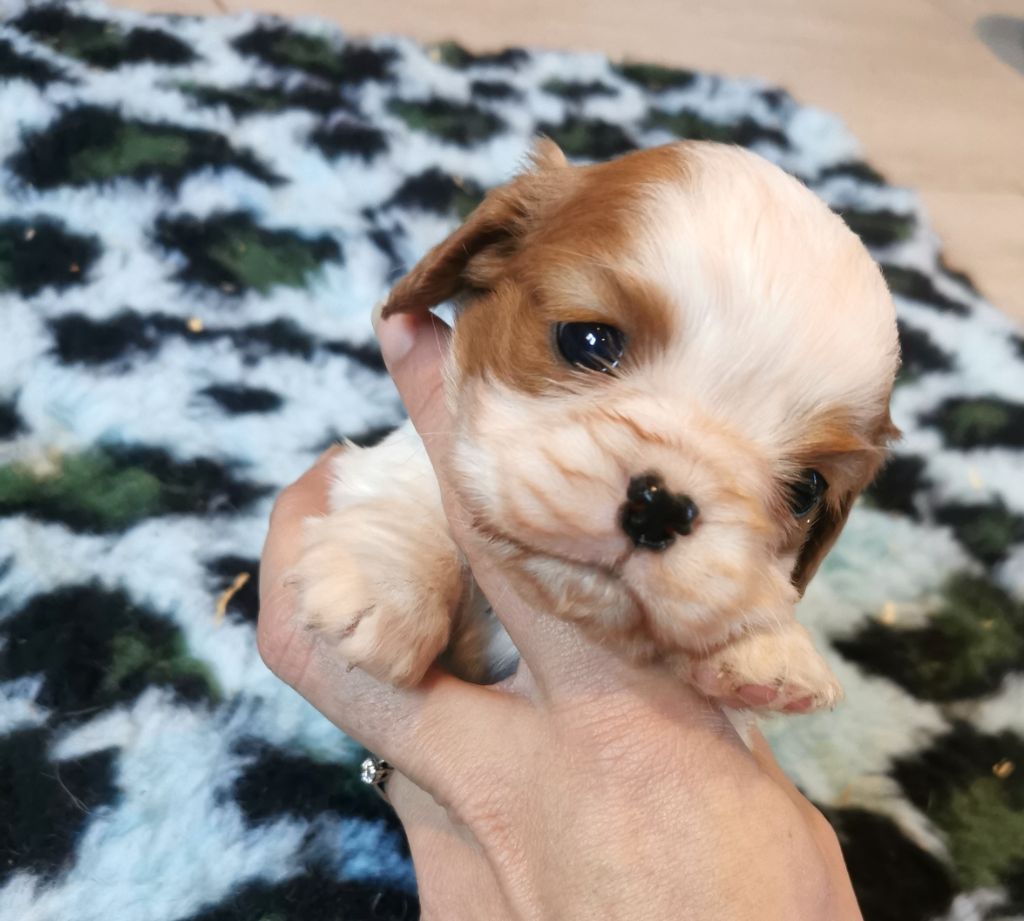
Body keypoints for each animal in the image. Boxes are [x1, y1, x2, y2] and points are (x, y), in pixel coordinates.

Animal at [294, 139, 900, 715]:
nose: (660, 507)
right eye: (586, 340)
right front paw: (386, 580)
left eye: (805, 492)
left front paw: (768, 647)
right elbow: (414, 489)